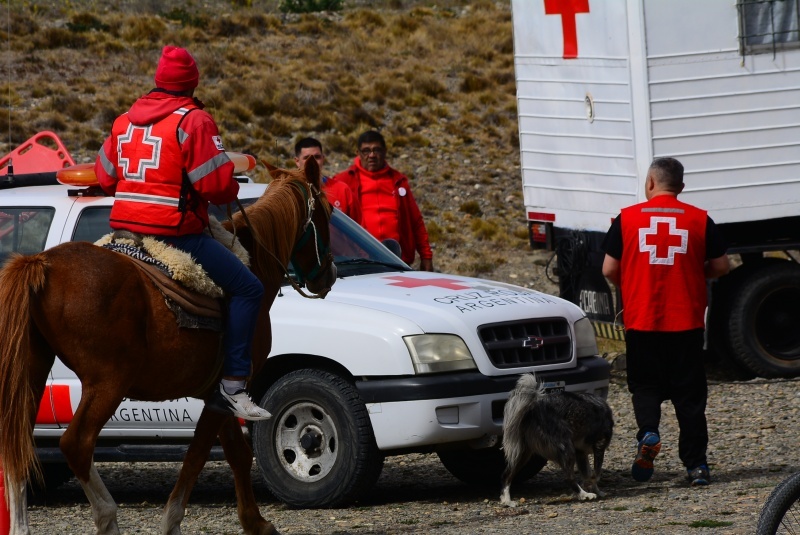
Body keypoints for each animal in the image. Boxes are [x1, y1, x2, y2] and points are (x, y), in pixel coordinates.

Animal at [0, 159, 334, 535]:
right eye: (328, 212)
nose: (329, 273)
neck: (255, 264)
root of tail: (42, 263)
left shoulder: (216, 393)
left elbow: (235, 452)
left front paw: (255, 522)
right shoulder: (230, 388)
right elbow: (198, 455)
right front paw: (173, 521)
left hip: (31, 374)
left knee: (17, 446)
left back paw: (20, 526)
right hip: (108, 382)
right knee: (76, 444)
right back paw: (107, 516)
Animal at [500, 372, 612, 506]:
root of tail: (533, 409)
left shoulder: (581, 453)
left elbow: (588, 474)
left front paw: (593, 488)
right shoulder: (599, 446)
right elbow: (596, 474)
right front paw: (595, 490)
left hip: (523, 453)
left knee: (507, 474)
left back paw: (507, 500)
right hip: (566, 447)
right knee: (568, 478)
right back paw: (584, 494)